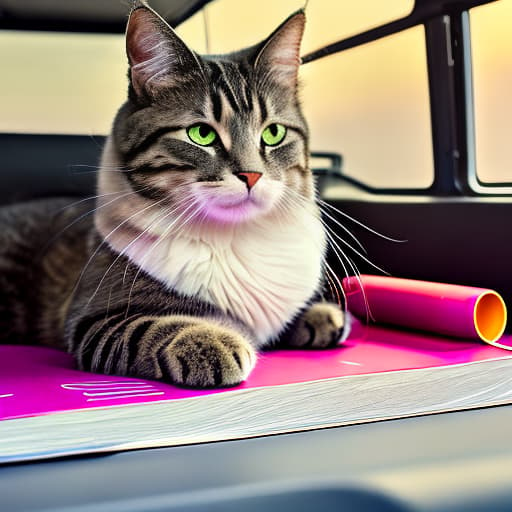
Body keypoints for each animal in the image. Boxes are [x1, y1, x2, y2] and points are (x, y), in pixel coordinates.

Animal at [0, 4, 348, 388]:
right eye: (201, 134)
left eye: (273, 133)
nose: (252, 175)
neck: (234, 236)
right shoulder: (93, 317)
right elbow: (150, 327)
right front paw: (210, 339)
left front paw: (321, 314)